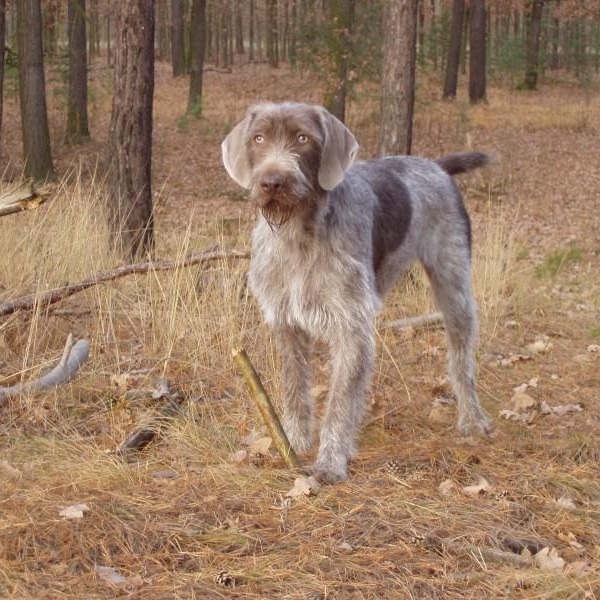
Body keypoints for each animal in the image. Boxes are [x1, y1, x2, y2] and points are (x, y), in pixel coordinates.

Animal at [221, 99, 492, 482]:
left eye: (303, 138)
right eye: (258, 138)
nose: (272, 181)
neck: (298, 234)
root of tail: (436, 166)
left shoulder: (350, 325)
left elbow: (339, 402)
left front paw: (330, 461)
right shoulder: (287, 323)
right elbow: (295, 387)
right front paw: (294, 440)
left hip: (454, 289)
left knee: (461, 360)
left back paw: (471, 418)